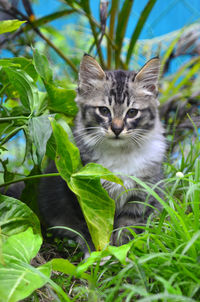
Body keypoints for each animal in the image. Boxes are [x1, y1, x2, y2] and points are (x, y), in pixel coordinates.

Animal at [38, 53, 166, 252]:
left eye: (132, 113)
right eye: (104, 110)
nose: (117, 129)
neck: (119, 154)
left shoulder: (140, 195)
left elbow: (125, 230)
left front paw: (122, 254)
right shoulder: (83, 194)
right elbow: (92, 230)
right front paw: (99, 255)